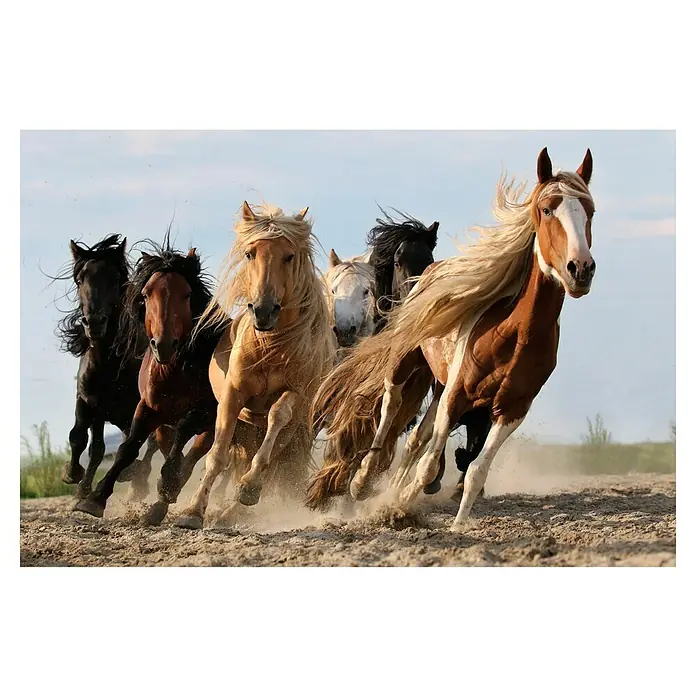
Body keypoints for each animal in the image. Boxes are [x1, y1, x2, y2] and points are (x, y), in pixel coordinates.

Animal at [56, 235, 159, 501]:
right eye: (80, 280)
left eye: (114, 279)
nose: (94, 322)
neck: (108, 365)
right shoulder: (90, 402)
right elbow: (82, 439)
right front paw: (74, 478)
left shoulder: (134, 408)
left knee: (151, 444)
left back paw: (138, 482)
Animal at [74, 236, 227, 524]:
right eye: (146, 294)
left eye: (186, 294)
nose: (163, 345)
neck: (174, 371)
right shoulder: (147, 407)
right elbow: (128, 447)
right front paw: (94, 499)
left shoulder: (204, 412)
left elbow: (183, 436)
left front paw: (167, 484)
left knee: (192, 455)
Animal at [174, 202, 335, 530]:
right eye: (250, 254)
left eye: (289, 256)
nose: (263, 310)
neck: (269, 347)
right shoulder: (233, 396)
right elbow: (217, 456)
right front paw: (192, 511)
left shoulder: (295, 395)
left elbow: (276, 418)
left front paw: (248, 488)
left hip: (293, 430)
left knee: (271, 462)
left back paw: (236, 507)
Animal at [307, 148, 596, 529]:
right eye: (547, 209)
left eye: (590, 210)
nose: (580, 269)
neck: (513, 333)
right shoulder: (456, 394)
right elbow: (428, 461)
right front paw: (392, 504)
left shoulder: (511, 409)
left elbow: (474, 469)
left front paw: (455, 524)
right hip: (406, 363)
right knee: (390, 406)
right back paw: (363, 479)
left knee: (416, 440)